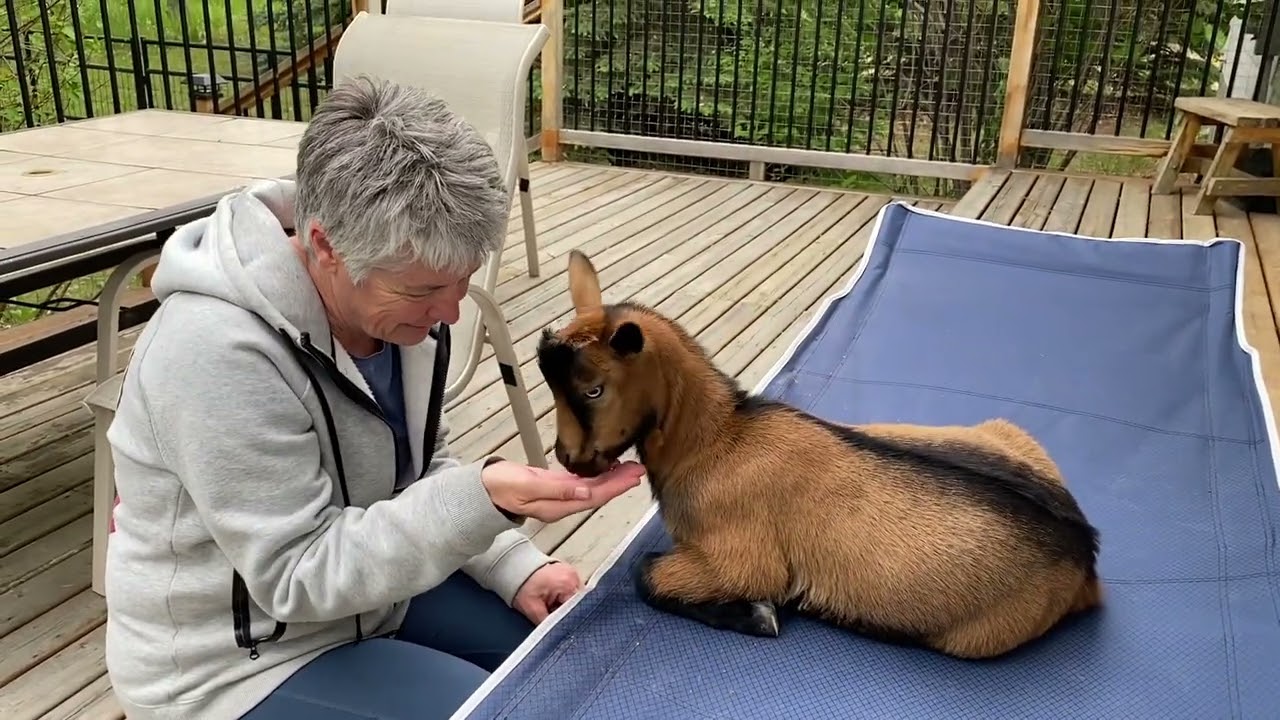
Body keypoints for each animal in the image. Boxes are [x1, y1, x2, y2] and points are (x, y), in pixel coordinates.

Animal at [534, 249, 1103, 659]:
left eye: (592, 390)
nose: (570, 459)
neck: (717, 440)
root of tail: (1085, 551)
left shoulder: (743, 560)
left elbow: (645, 574)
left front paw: (759, 616)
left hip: (979, 632)